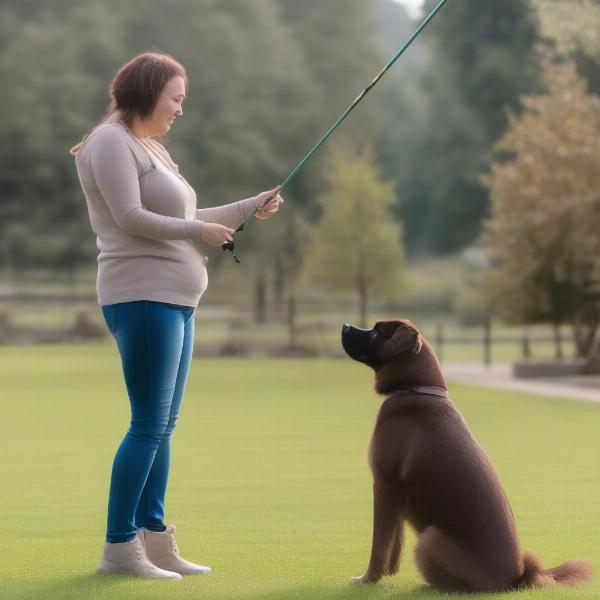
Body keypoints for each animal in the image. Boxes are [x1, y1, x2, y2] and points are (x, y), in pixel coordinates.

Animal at [340, 322, 592, 592]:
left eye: (377, 331)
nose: (345, 326)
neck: (415, 387)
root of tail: (516, 578)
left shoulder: (384, 485)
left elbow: (378, 546)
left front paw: (368, 579)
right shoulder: (394, 494)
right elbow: (393, 544)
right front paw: (386, 576)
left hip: (429, 539)